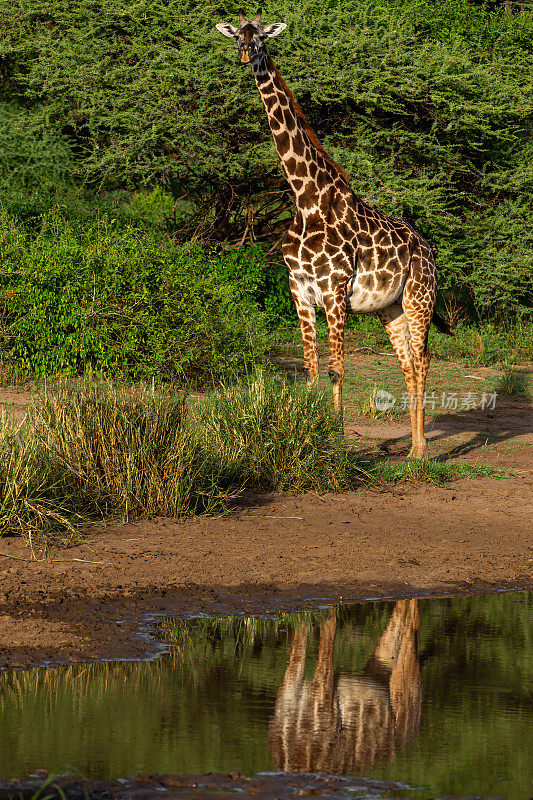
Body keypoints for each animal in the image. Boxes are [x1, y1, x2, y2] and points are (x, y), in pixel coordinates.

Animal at [214, 7, 450, 456]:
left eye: (261, 36)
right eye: (237, 34)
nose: (244, 54)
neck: (306, 198)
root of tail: (429, 249)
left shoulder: (334, 288)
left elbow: (337, 368)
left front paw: (336, 444)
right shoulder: (299, 287)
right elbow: (310, 366)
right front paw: (305, 434)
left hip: (420, 298)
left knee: (425, 358)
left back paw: (423, 450)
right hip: (390, 308)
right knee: (408, 362)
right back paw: (413, 449)